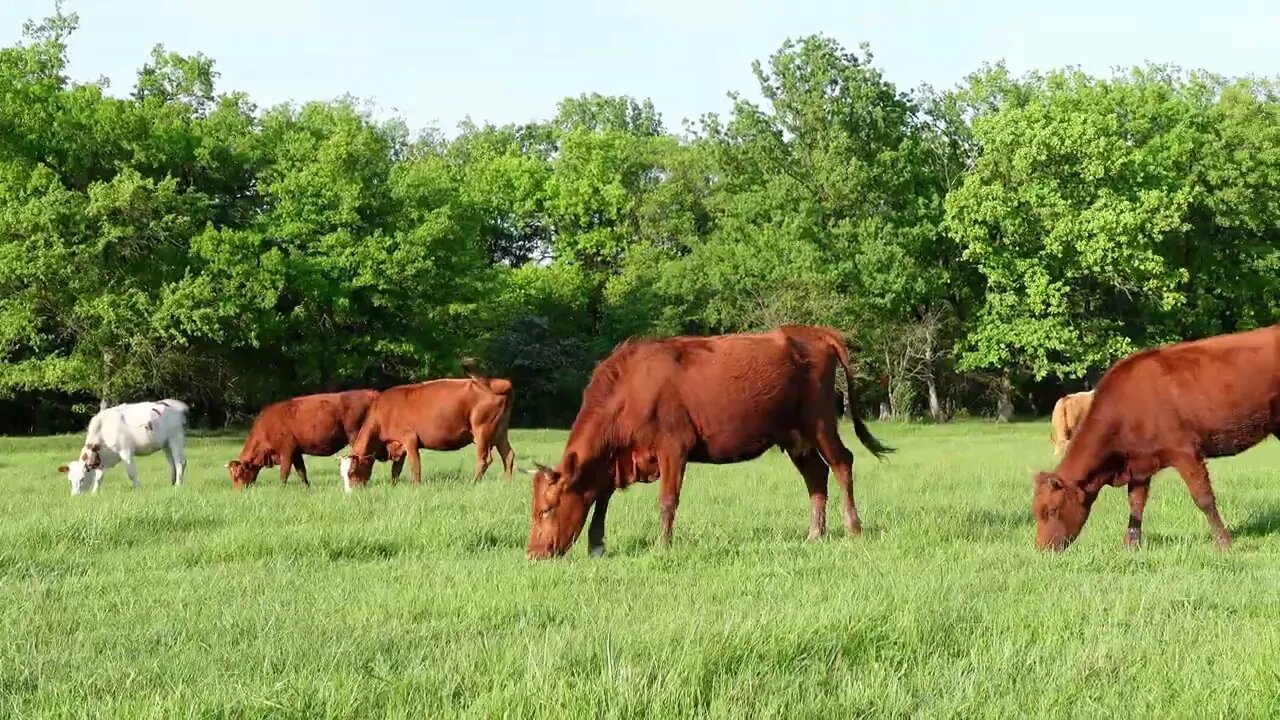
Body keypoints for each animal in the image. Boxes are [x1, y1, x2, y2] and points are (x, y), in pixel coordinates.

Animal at [57, 397, 189, 491]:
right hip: (166, 444)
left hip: (176, 438)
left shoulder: (125, 451)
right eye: (69, 480)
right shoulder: (102, 458)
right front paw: (94, 493)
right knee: (172, 463)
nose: (75, 496)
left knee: (180, 462)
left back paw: (178, 485)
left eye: (82, 479)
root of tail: (177, 405)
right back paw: (172, 484)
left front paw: (138, 490)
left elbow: (132, 473)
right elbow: (99, 477)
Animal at [225, 386, 401, 486]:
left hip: (356, 436)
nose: (238, 491)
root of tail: (371, 393)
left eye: (238, 475)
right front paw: (307, 488)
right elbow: (301, 472)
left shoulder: (286, 451)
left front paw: (280, 489)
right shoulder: (296, 453)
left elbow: (284, 473)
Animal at [345, 356, 519, 489]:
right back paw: (507, 483)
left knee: (484, 459)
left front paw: (416, 487)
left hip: (483, 431)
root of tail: (497, 382)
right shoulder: (399, 446)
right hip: (500, 432)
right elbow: (396, 470)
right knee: (508, 455)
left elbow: (414, 466)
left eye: (351, 473)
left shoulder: (409, 438)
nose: (351, 492)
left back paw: (473, 483)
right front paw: (393, 486)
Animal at [524, 322, 896, 558]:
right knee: (817, 477)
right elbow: (601, 499)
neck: (631, 389)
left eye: (546, 509)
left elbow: (667, 500)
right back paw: (814, 534)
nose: (532, 553)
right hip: (795, 437)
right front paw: (597, 546)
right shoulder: (617, 460)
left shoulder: (673, 447)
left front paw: (662, 546)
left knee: (842, 463)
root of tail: (814, 333)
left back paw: (853, 527)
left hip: (819, 422)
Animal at [1029, 324, 1280, 548]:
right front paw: (1131, 545)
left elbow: (1204, 498)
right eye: (1036, 512)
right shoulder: (1139, 463)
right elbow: (1136, 504)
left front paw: (1224, 543)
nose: (1042, 549)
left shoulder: (1185, 452)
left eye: (1052, 510)